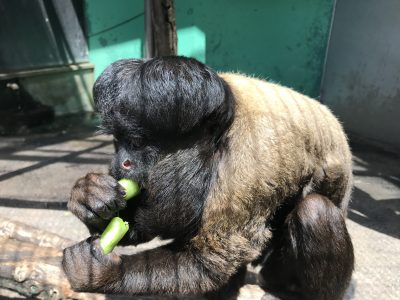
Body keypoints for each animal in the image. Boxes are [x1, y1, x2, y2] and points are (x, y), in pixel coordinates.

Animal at [61, 56, 354, 300]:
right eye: (117, 142)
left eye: (135, 142)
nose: (120, 162)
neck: (218, 135)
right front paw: (88, 195)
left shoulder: (247, 170)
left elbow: (211, 262)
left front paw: (100, 273)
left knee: (315, 211)